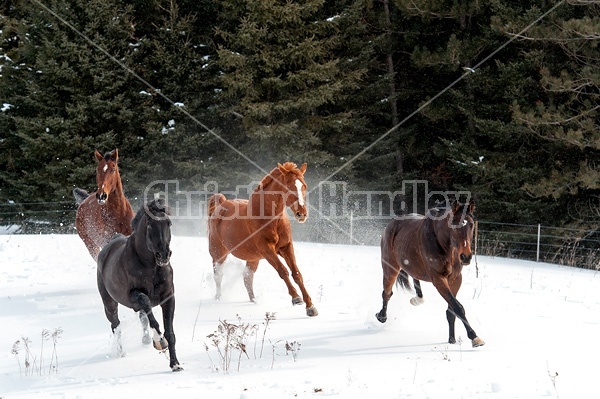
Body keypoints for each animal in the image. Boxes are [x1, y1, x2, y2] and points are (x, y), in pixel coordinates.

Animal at [95, 200, 180, 372]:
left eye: (169, 223)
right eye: (149, 225)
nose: (164, 255)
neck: (151, 267)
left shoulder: (169, 298)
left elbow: (170, 332)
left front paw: (175, 364)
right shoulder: (133, 297)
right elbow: (148, 307)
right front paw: (159, 342)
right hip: (109, 303)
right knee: (116, 325)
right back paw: (121, 353)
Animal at [207, 162, 318, 318]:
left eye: (304, 185)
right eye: (288, 185)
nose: (301, 214)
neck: (271, 219)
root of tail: (221, 205)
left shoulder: (286, 247)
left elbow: (297, 274)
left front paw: (310, 307)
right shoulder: (267, 250)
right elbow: (283, 271)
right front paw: (296, 298)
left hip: (253, 259)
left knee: (247, 277)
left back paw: (253, 300)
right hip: (218, 254)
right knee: (218, 275)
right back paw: (217, 299)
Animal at [378, 202, 486, 348]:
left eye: (471, 224)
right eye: (454, 224)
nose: (466, 257)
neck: (444, 245)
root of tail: (390, 225)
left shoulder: (456, 279)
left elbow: (452, 310)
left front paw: (452, 340)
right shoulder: (439, 279)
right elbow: (458, 307)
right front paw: (475, 338)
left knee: (414, 277)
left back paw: (417, 299)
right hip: (391, 269)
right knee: (387, 293)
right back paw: (382, 316)